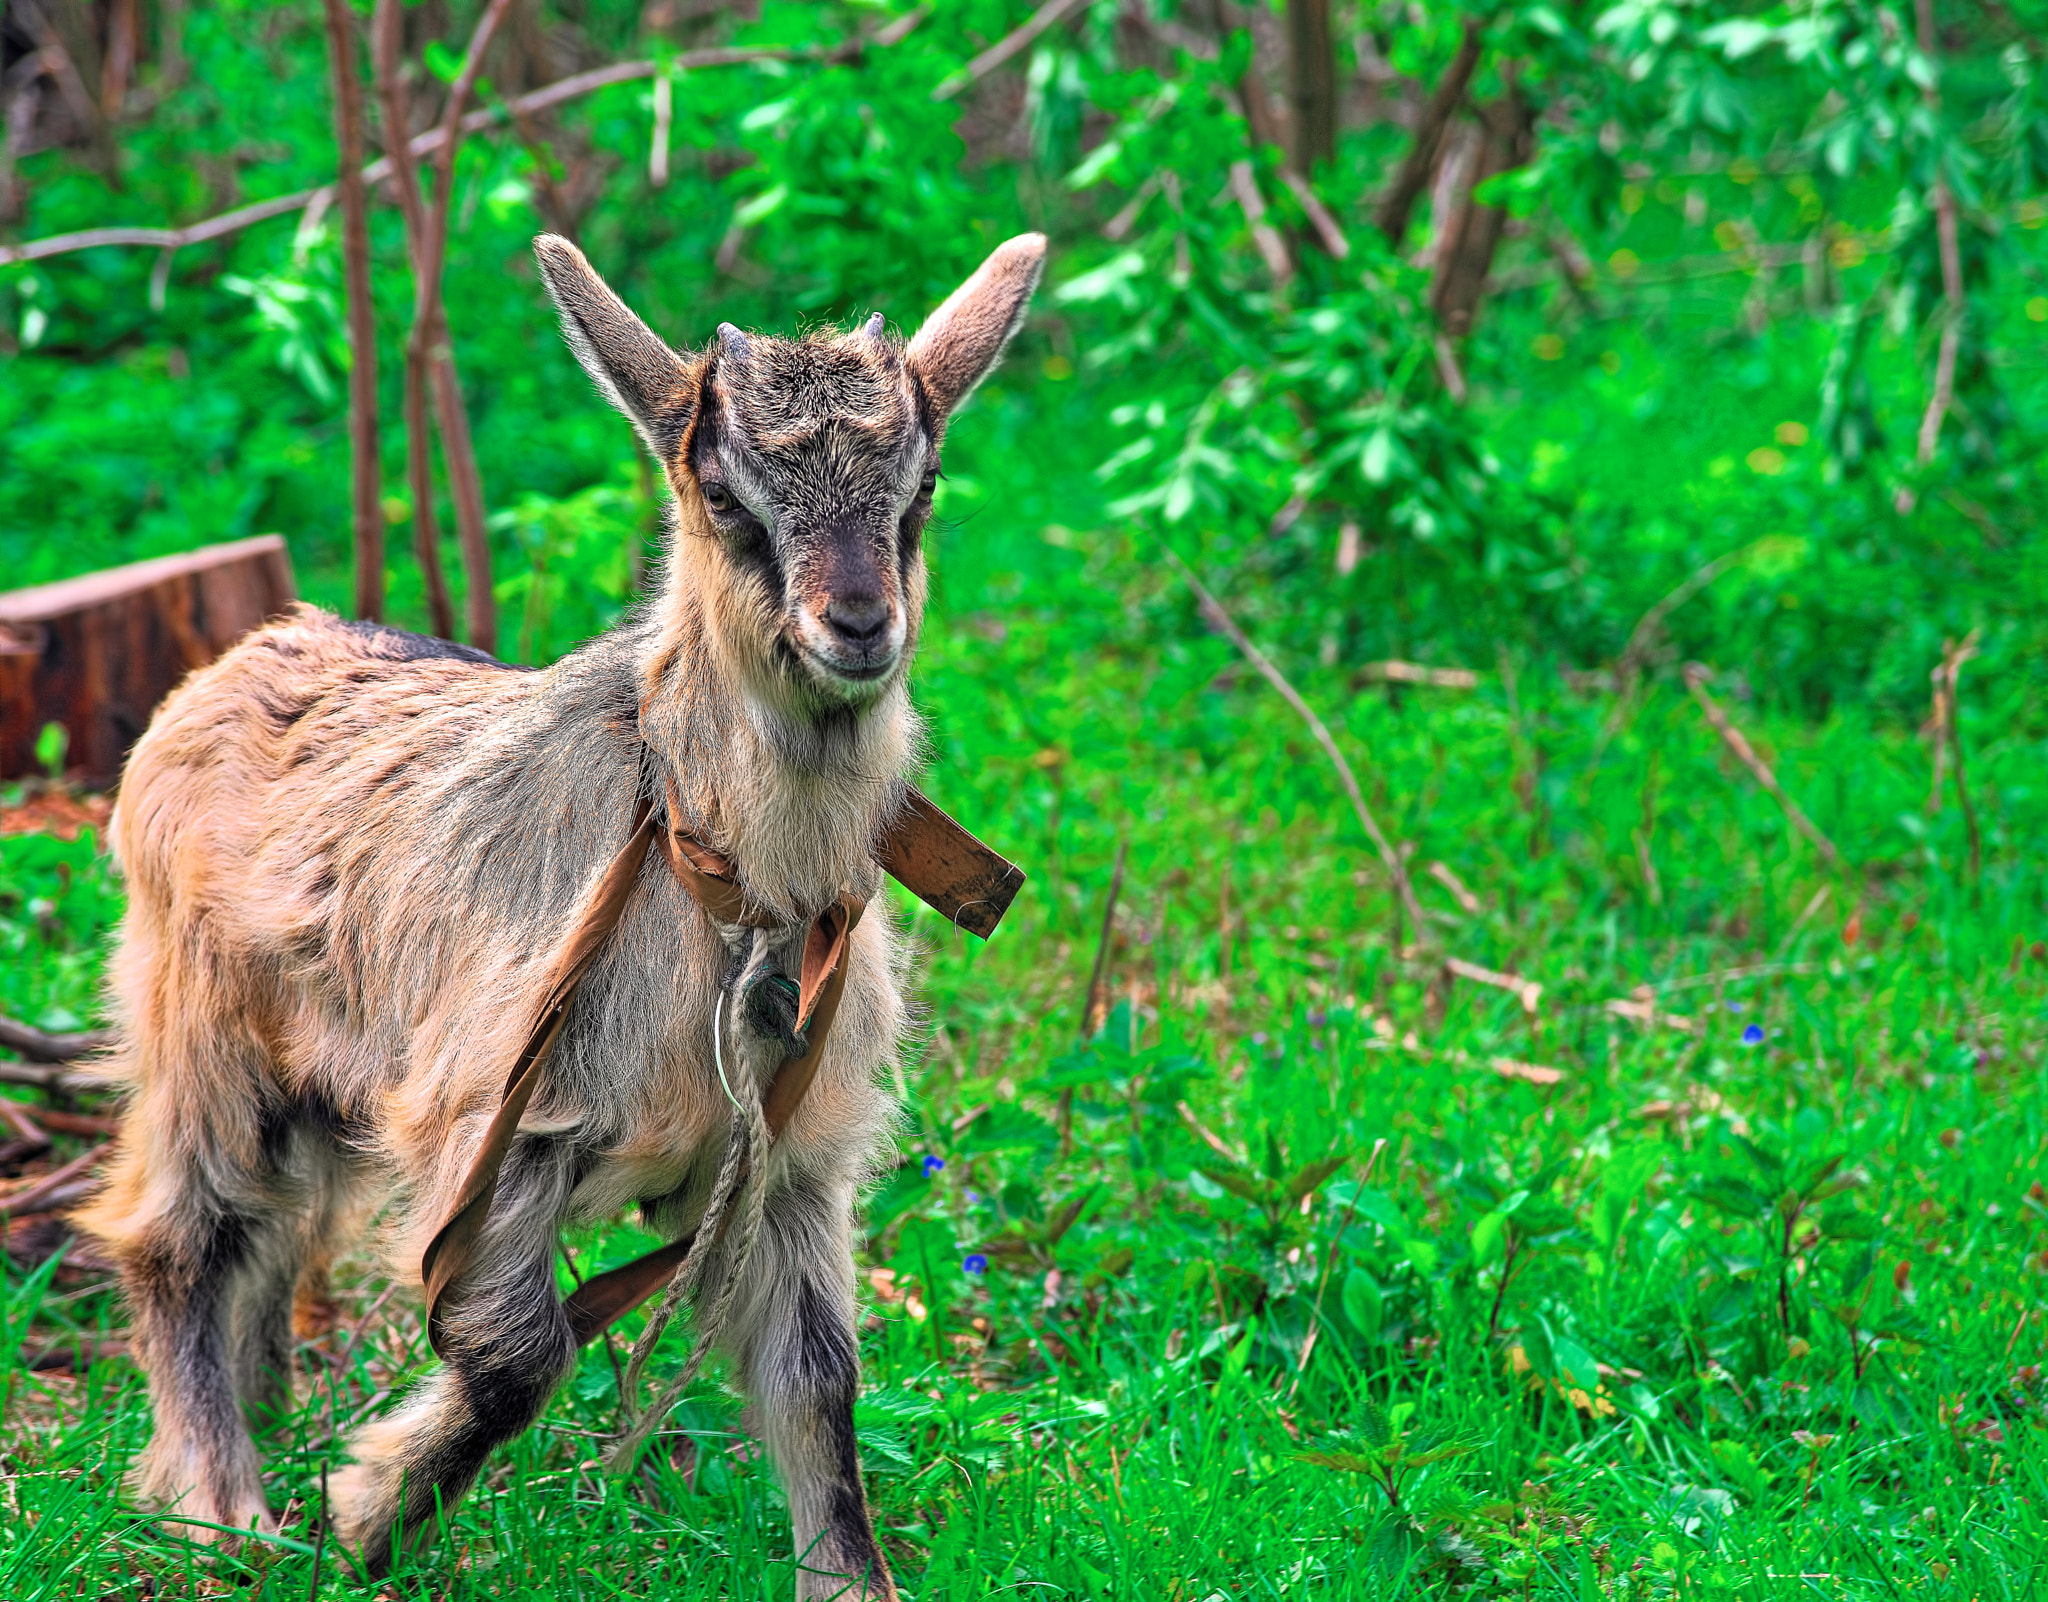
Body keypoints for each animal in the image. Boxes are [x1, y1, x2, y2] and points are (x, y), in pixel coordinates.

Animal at [76, 230, 1046, 1598]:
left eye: (918, 490)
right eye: (724, 493)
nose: (857, 624)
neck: (721, 896)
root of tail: (228, 667)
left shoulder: (794, 1162)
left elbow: (819, 1380)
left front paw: (851, 1579)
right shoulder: (497, 1124)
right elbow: (516, 1353)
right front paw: (368, 1512)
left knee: (265, 1255)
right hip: (206, 1041)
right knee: (179, 1239)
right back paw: (222, 1505)